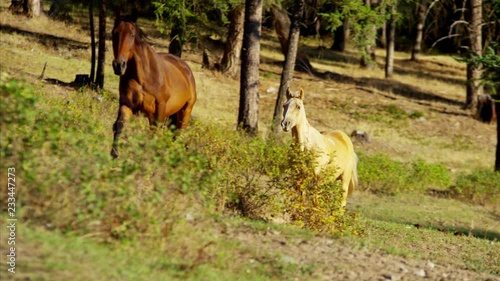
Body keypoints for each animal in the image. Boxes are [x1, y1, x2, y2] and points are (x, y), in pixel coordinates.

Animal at [110, 11, 196, 158]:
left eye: (132, 34)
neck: (143, 77)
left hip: (185, 112)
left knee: (176, 136)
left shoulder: (160, 108)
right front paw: (114, 154)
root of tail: (185, 68)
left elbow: (155, 134)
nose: (119, 65)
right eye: (114, 33)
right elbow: (120, 125)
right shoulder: (127, 104)